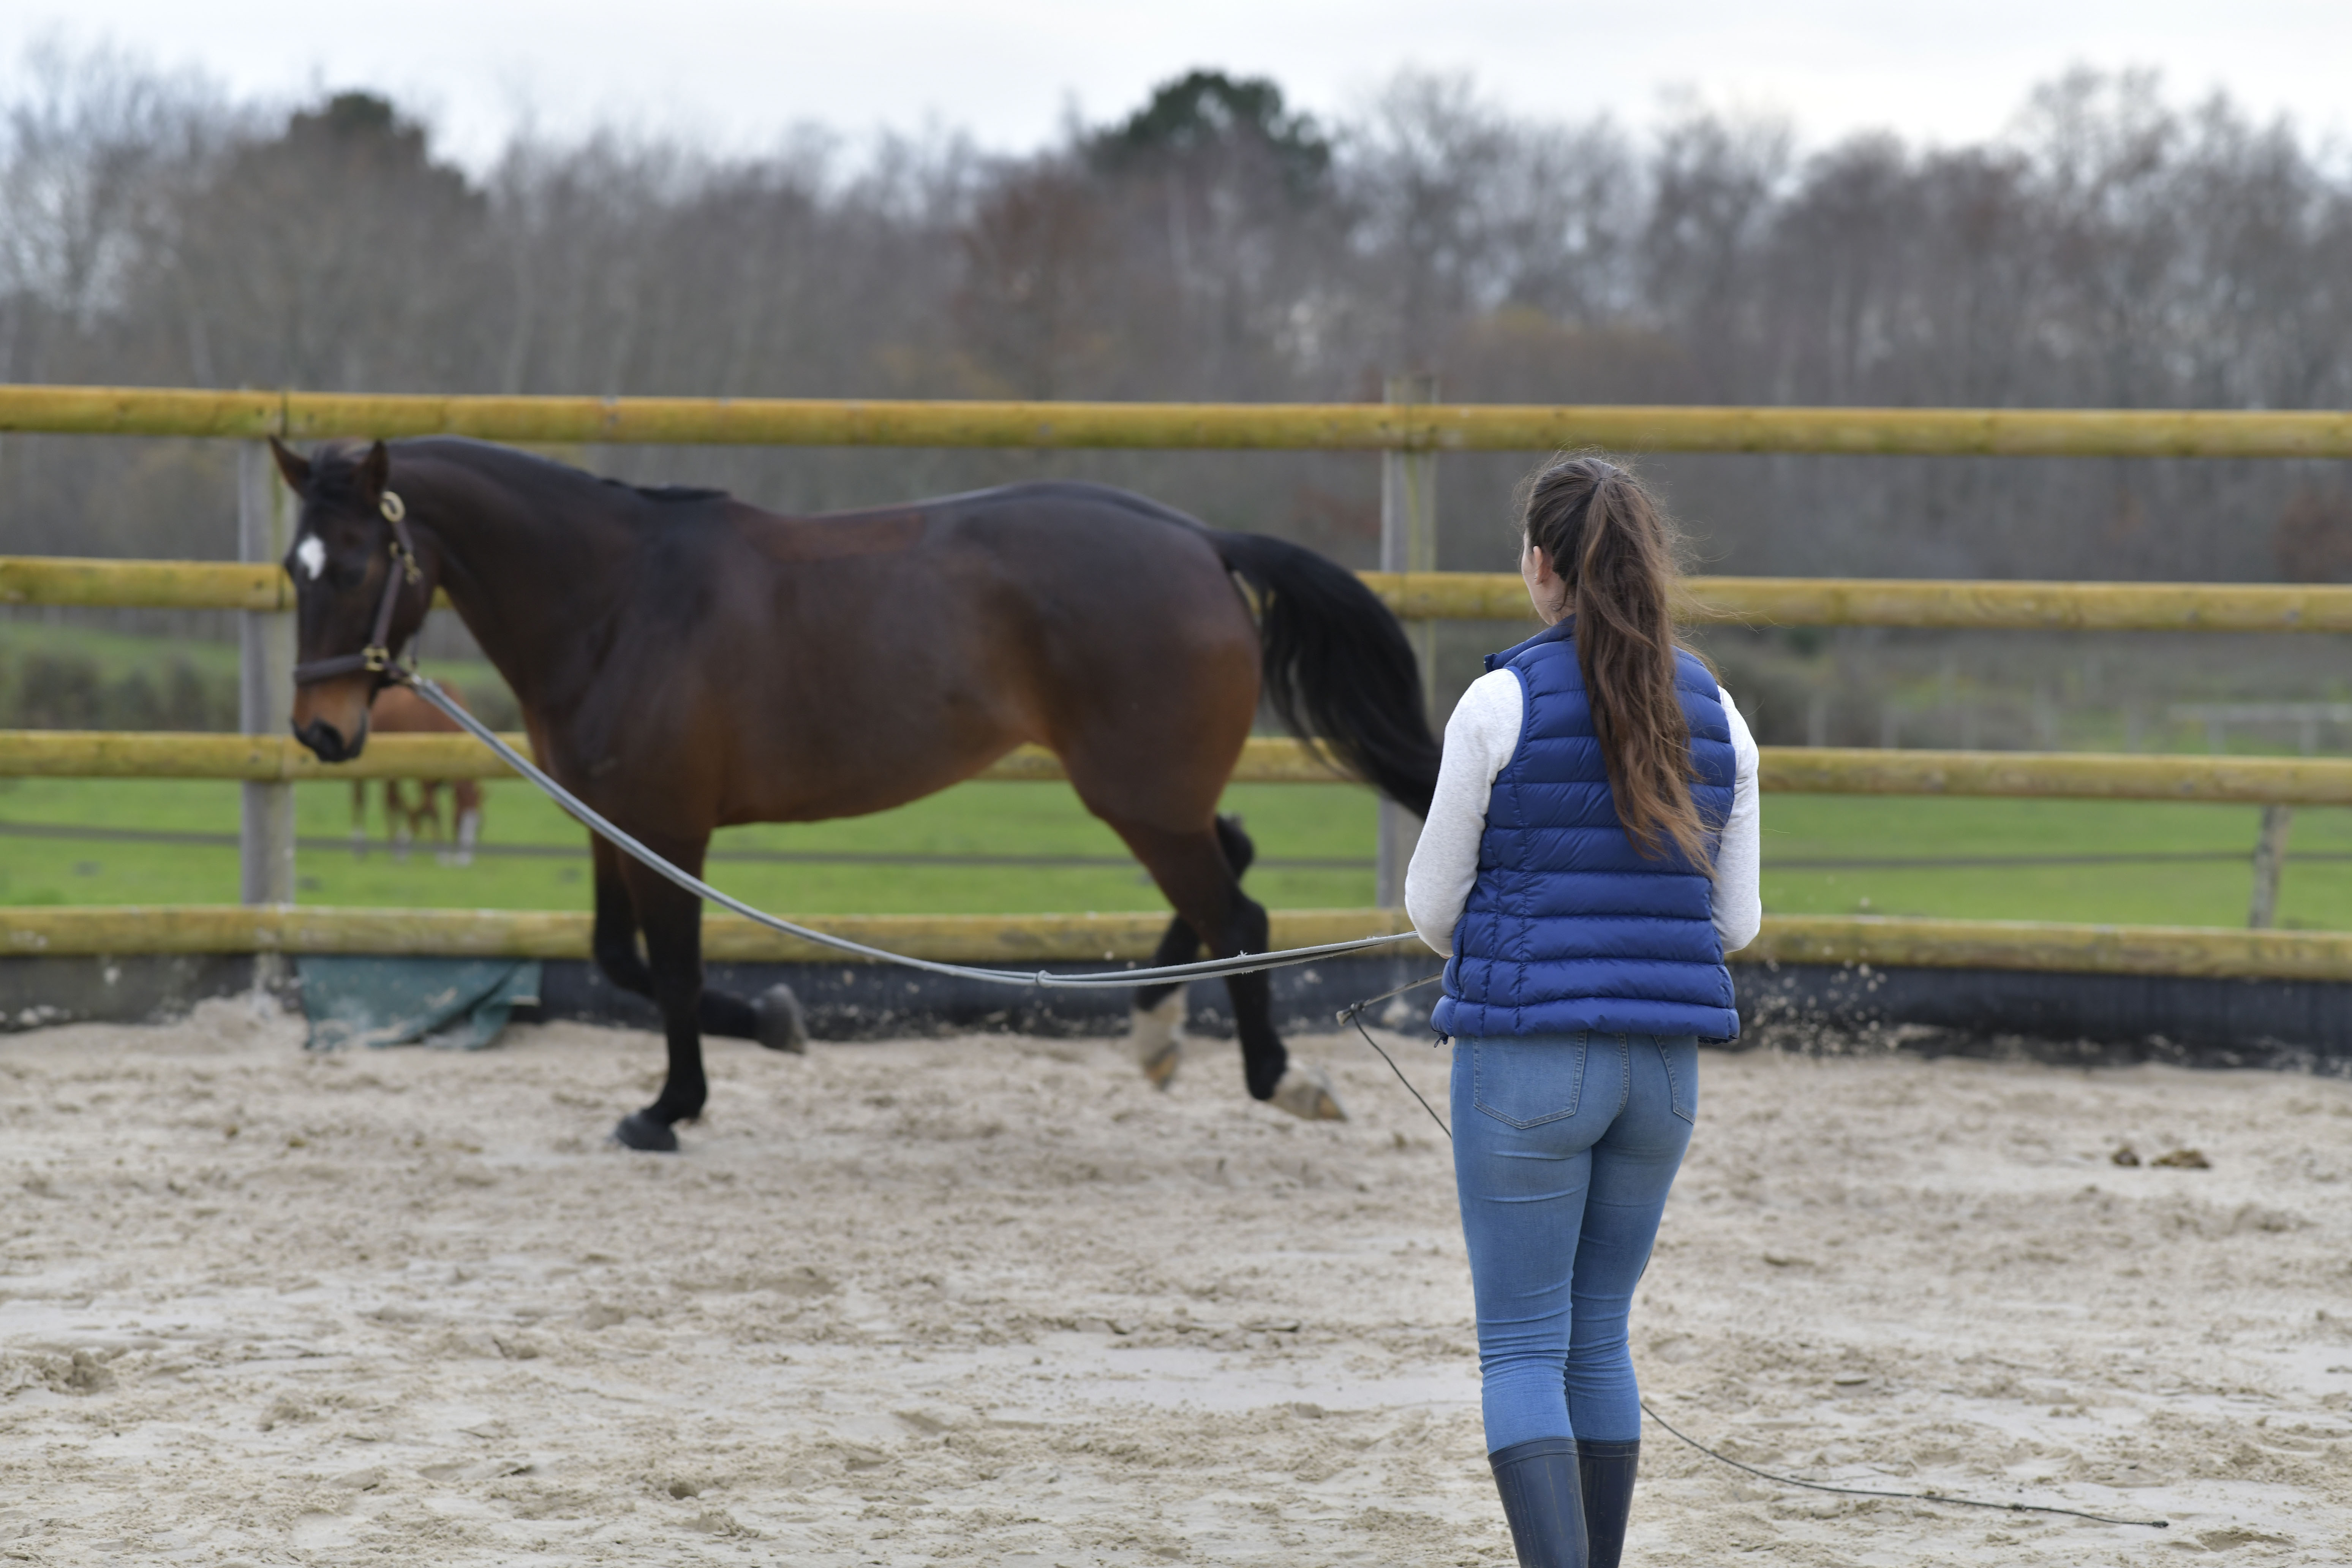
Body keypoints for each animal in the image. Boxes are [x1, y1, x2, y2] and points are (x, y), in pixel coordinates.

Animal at [350, 681, 484, 865]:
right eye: (457, 819)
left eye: (479, 825)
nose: (465, 862)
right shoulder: (426, 780)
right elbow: (431, 810)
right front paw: (442, 854)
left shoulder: (435, 780)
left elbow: (421, 809)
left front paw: (402, 846)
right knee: (360, 798)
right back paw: (360, 847)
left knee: (391, 800)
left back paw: (392, 844)